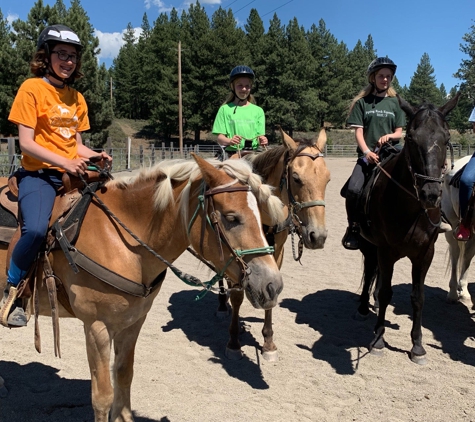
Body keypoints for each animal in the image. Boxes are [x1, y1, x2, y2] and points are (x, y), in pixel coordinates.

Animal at [0, 153, 284, 420]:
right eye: (231, 218)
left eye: (260, 214)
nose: (273, 286)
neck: (121, 242)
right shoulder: (96, 327)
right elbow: (102, 396)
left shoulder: (133, 322)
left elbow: (124, 377)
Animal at [221, 128, 330, 360]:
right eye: (296, 178)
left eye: (328, 179)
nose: (317, 236)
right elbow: (237, 296)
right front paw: (233, 341)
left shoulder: (276, 253)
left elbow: (272, 290)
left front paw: (269, 343)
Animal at [356, 94, 462, 364]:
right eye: (412, 138)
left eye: (446, 137)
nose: (431, 194)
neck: (410, 209)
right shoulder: (384, 249)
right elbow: (385, 292)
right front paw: (379, 339)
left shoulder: (425, 254)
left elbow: (418, 297)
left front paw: (417, 345)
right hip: (369, 244)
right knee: (371, 270)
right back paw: (363, 307)